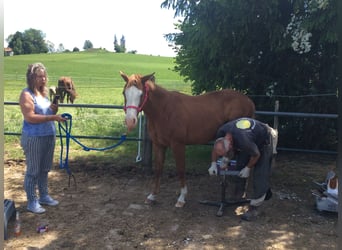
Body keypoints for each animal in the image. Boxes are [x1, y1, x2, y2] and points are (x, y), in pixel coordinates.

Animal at [119, 72, 255, 207]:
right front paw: (152, 196)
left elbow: (181, 169)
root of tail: (249, 101)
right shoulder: (159, 145)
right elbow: (158, 169)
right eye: (124, 93)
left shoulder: (178, 145)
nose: (130, 121)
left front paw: (181, 198)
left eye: (141, 94)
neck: (163, 110)